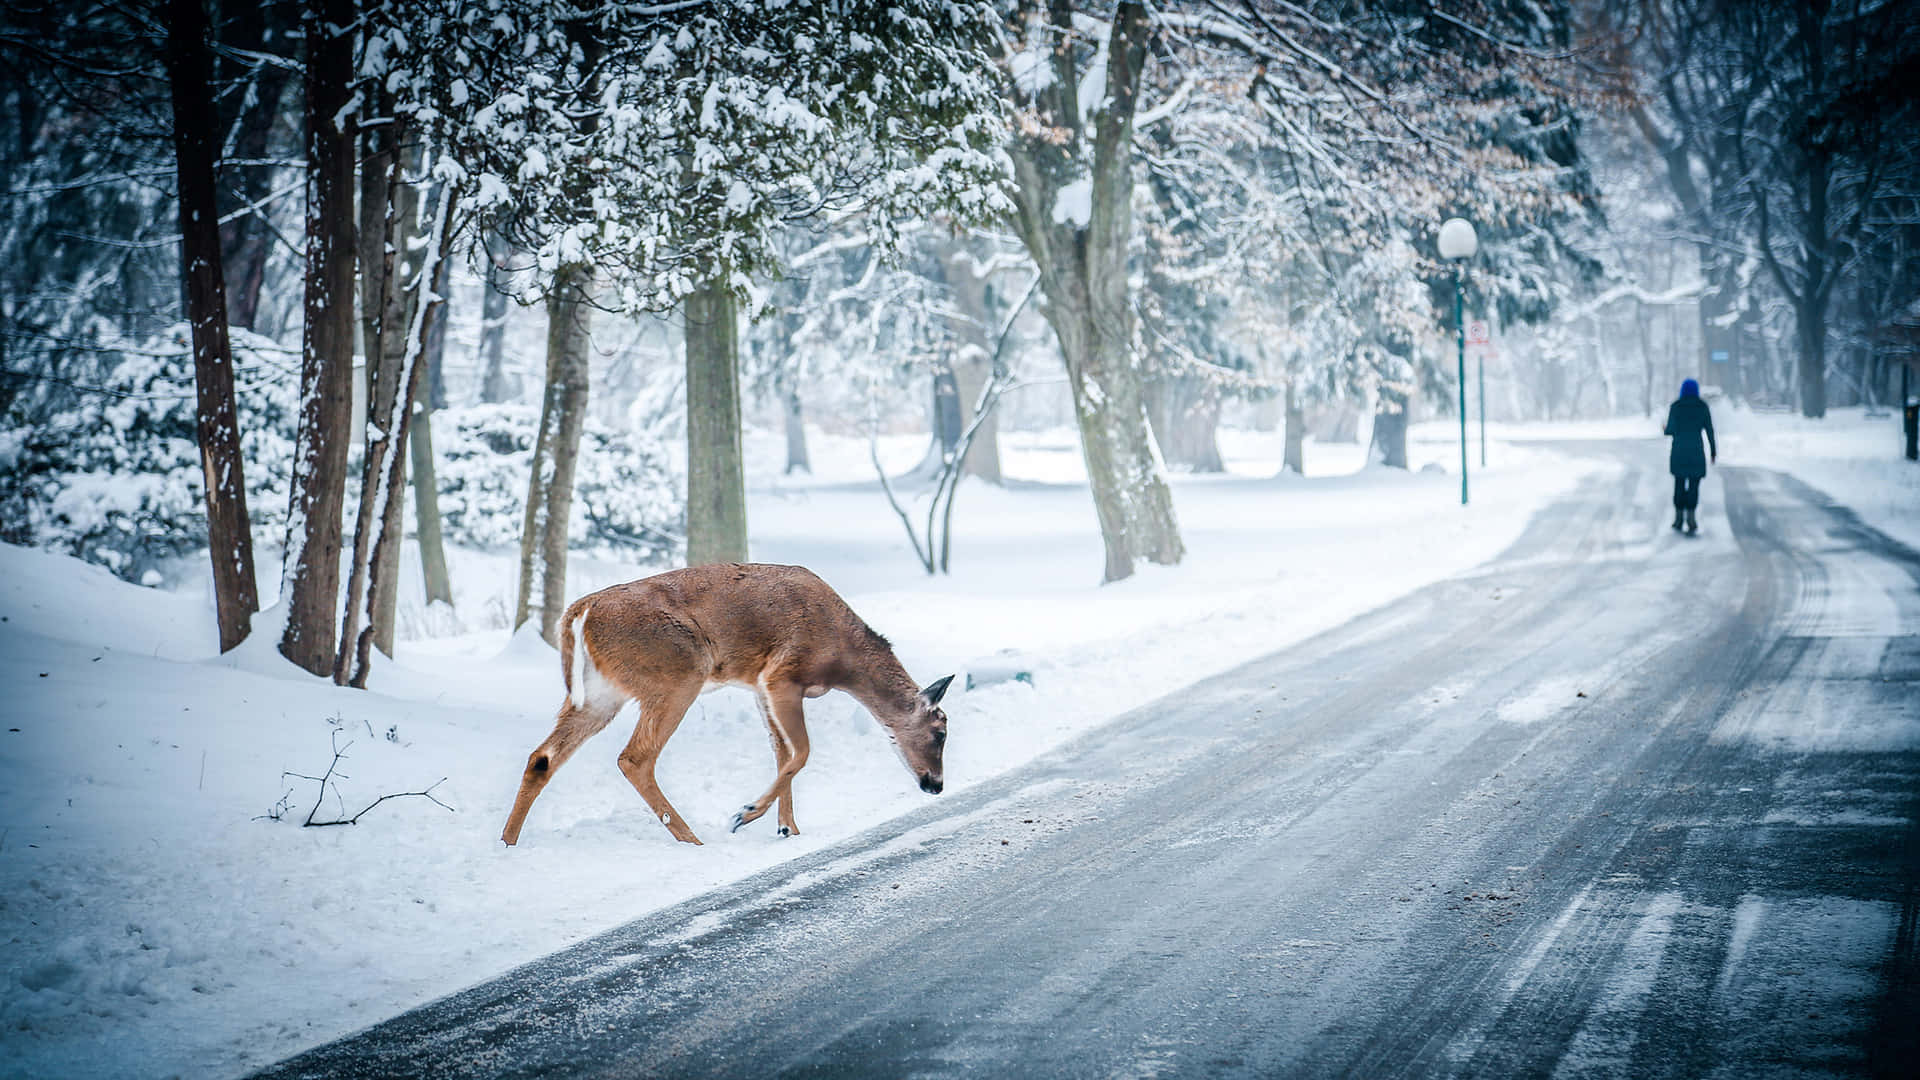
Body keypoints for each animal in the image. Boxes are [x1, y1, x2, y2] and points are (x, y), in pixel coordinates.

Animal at [499, 557, 956, 845]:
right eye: (940, 732)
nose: (935, 785)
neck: (843, 658)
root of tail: (580, 612)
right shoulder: (781, 673)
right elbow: (802, 751)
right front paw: (746, 813)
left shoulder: (758, 686)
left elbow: (782, 752)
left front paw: (788, 829)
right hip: (678, 673)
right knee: (634, 758)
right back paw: (693, 838)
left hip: (600, 693)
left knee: (543, 758)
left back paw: (508, 842)